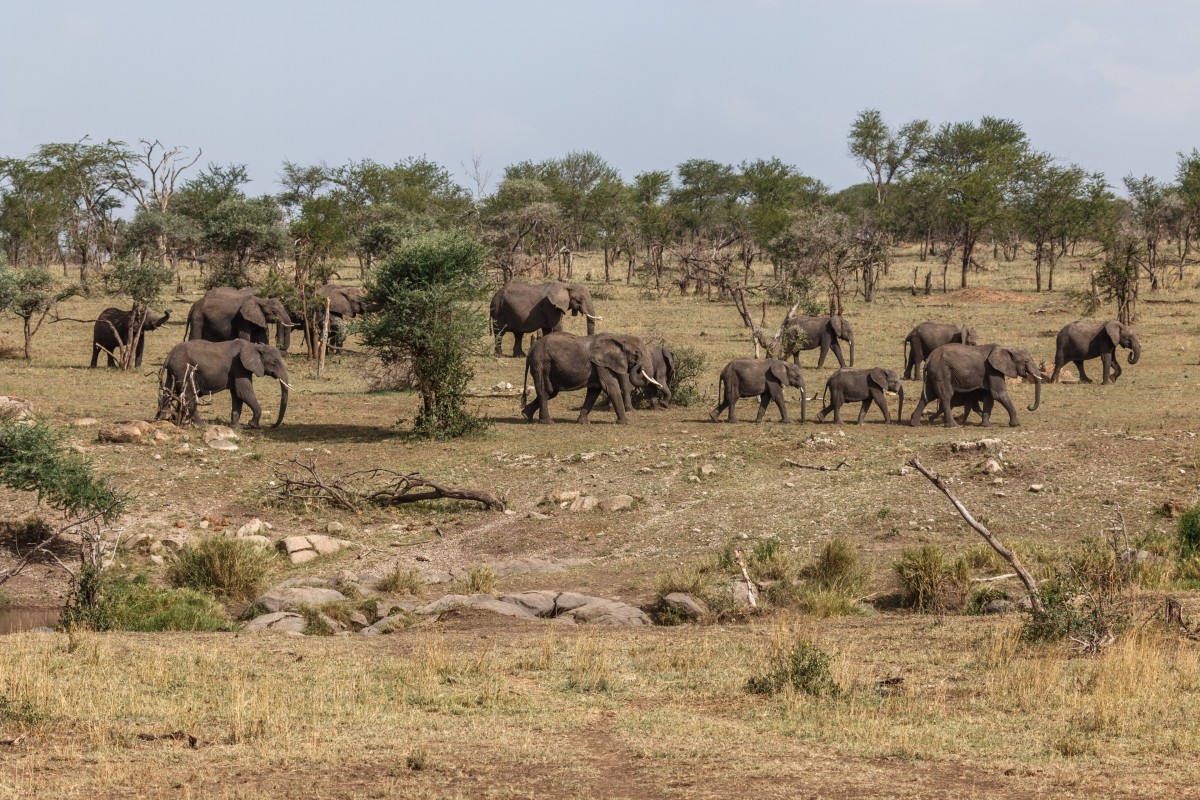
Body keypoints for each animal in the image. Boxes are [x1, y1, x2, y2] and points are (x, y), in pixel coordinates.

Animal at [156, 338, 289, 429]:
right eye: (275, 362)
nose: (272, 425)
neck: (254, 346)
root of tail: (169, 355)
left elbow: (237, 395)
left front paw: (236, 427)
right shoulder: (239, 366)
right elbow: (243, 393)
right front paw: (253, 425)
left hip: (174, 370)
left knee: (170, 390)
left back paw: (162, 419)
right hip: (184, 368)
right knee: (189, 395)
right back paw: (201, 425)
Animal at [520, 331, 662, 424]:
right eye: (636, 353)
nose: (638, 365)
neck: (619, 337)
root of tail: (531, 349)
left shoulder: (600, 365)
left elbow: (594, 391)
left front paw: (583, 422)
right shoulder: (601, 364)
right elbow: (610, 386)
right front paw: (626, 422)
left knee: (551, 392)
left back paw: (526, 416)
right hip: (541, 364)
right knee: (545, 391)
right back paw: (547, 422)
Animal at [907, 345, 1041, 431]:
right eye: (1026, 361)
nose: (1029, 406)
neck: (1006, 348)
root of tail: (928, 360)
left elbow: (989, 397)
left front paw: (986, 425)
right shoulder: (993, 370)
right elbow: (999, 394)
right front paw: (1016, 424)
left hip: (934, 373)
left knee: (928, 396)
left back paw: (915, 424)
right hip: (942, 371)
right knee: (946, 396)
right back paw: (953, 425)